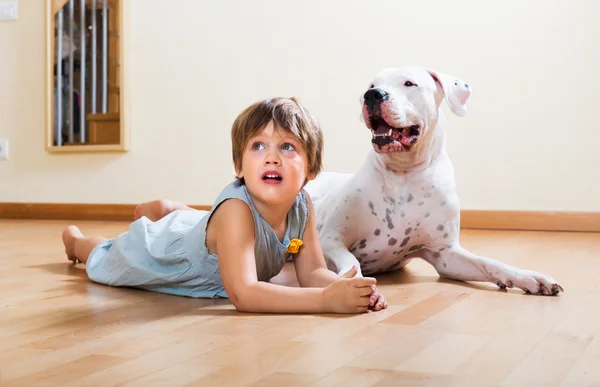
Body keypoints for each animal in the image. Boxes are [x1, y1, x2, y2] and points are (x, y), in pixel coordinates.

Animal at [308, 67, 564, 298]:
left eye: (409, 83)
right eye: (372, 85)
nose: (372, 95)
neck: (403, 173)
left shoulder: (445, 254)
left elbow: (488, 262)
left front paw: (528, 277)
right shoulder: (331, 240)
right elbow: (351, 262)